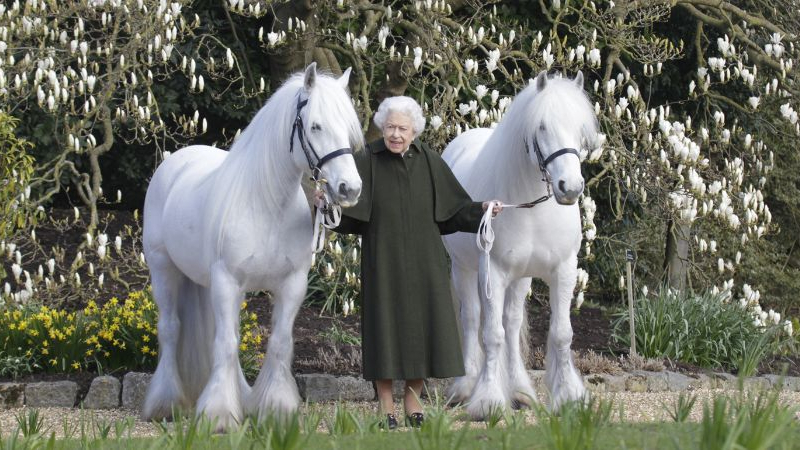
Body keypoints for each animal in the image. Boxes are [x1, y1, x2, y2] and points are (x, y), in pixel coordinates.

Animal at [141, 63, 362, 428]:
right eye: (316, 125)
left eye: (348, 129)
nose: (350, 188)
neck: (267, 205)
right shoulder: (227, 281)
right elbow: (227, 344)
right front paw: (218, 414)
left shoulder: (291, 285)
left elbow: (279, 343)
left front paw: (276, 407)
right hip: (164, 270)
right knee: (171, 329)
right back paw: (165, 403)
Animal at [444, 70, 600, 418]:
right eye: (541, 126)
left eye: (580, 128)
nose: (570, 187)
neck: (532, 207)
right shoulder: (493, 272)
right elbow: (491, 335)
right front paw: (487, 401)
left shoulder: (563, 270)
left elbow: (560, 333)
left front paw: (569, 396)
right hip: (464, 269)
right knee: (472, 318)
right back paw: (465, 387)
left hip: (521, 278)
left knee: (512, 323)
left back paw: (519, 391)